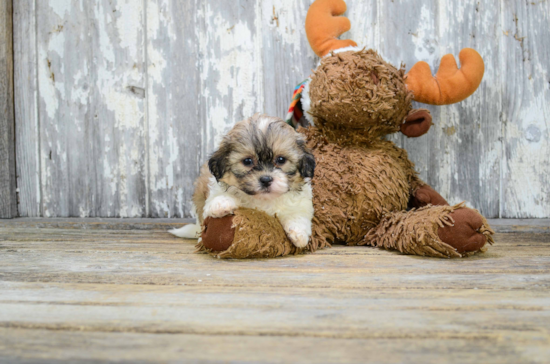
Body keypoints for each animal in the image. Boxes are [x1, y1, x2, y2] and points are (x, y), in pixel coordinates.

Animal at [168, 114, 316, 247]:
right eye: (247, 161)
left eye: (281, 160)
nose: (266, 179)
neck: (263, 200)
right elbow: (218, 197)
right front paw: (221, 204)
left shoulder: (301, 203)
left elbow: (298, 215)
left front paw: (299, 235)